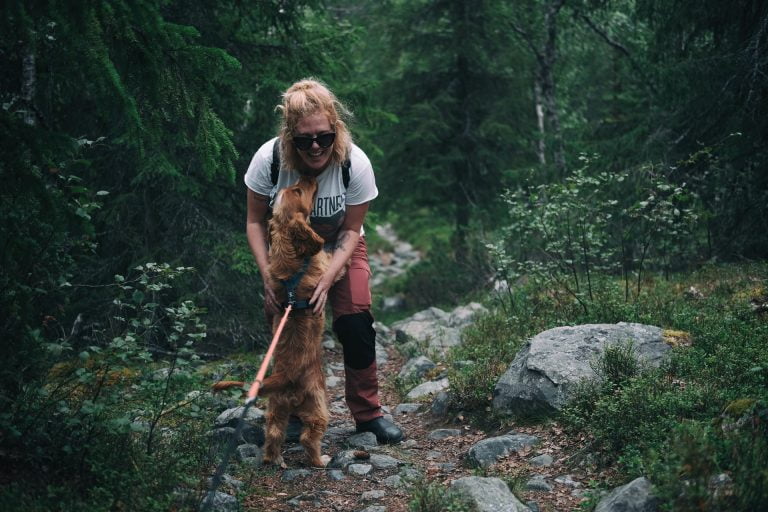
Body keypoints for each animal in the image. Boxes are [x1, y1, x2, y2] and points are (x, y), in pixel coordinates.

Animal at [218, 177, 334, 468]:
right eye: (299, 190)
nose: (308, 177)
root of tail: (285, 375)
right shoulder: (324, 265)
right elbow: (332, 259)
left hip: (276, 407)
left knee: (273, 433)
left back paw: (274, 459)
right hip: (317, 404)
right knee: (309, 437)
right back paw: (321, 460)